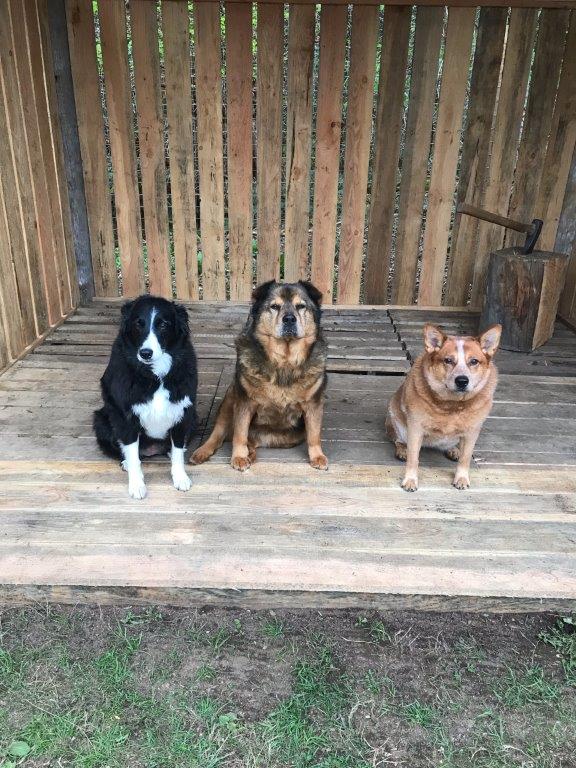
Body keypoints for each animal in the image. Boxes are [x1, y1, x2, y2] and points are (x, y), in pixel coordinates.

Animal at [92, 294, 196, 498]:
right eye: (138, 324)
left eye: (163, 324)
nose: (146, 353)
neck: (154, 375)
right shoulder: (126, 418)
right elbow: (133, 457)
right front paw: (136, 485)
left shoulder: (183, 413)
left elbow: (178, 451)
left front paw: (180, 477)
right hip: (101, 420)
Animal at [191, 280, 328, 472]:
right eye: (274, 307)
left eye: (301, 306)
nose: (289, 319)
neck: (284, 362)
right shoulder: (244, 402)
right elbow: (240, 434)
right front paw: (239, 457)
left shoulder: (314, 403)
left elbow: (314, 434)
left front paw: (317, 456)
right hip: (229, 398)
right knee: (219, 434)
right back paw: (202, 452)